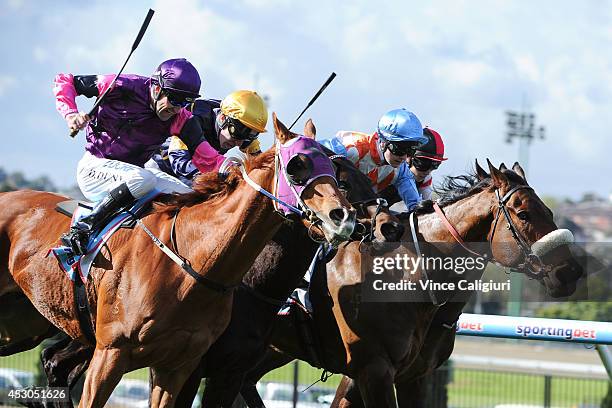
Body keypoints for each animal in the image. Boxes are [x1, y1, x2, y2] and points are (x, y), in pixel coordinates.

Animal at [239, 160, 584, 408]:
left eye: (549, 210)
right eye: (523, 214)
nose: (570, 272)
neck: (405, 273)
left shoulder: (411, 375)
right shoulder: (373, 369)